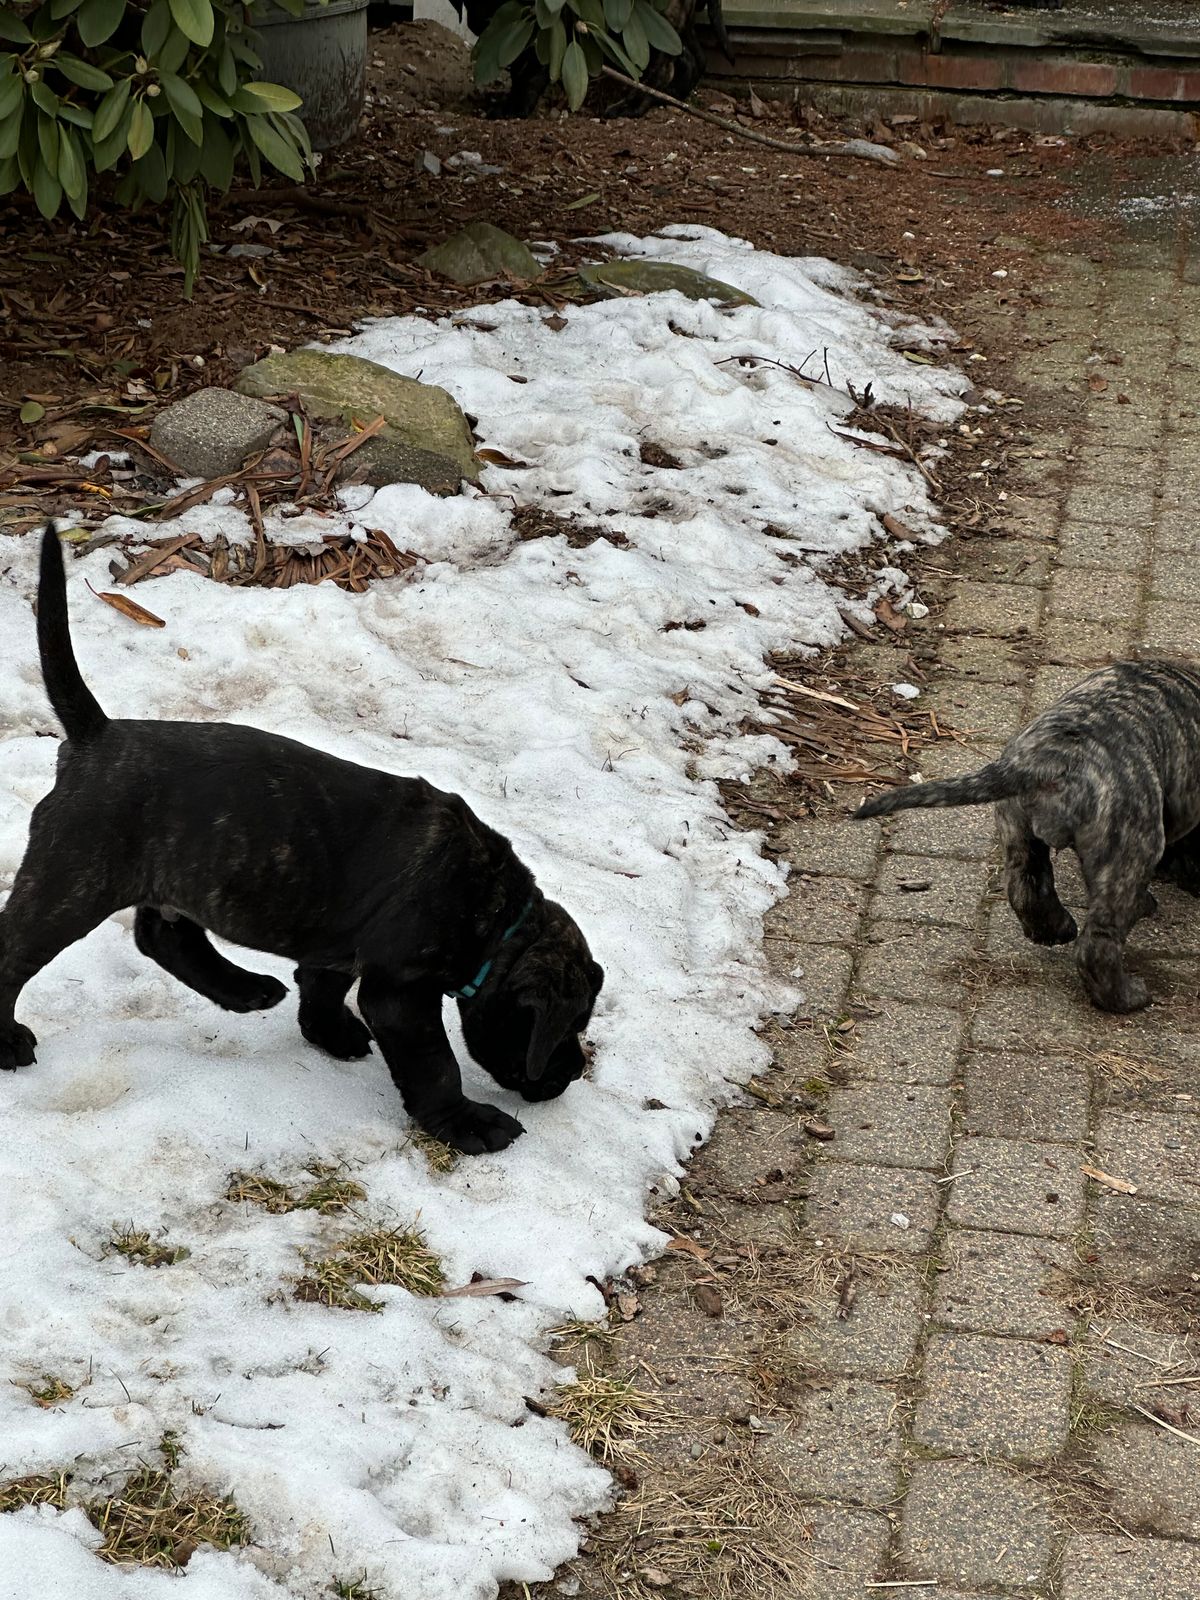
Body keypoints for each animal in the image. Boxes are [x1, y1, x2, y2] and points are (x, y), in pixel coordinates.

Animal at [0, 527, 603, 1153]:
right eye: (565, 1026)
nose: (570, 1073)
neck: (495, 915)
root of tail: (96, 736)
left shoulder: (342, 944)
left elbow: (322, 984)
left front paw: (329, 1033)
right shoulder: (400, 992)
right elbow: (435, 1064)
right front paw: (467, 1122)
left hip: (171, 869)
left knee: (163, 935)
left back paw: (241, 989)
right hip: (72, 879)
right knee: (15, 952)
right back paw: (7, 1041)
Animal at [854, 659, 1200, 1013]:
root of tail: (1055, 757)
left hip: (1016, 826)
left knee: (1027, 887)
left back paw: (1054, 929)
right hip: (1130, 845)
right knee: (1100, 941)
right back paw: (1126, 996)